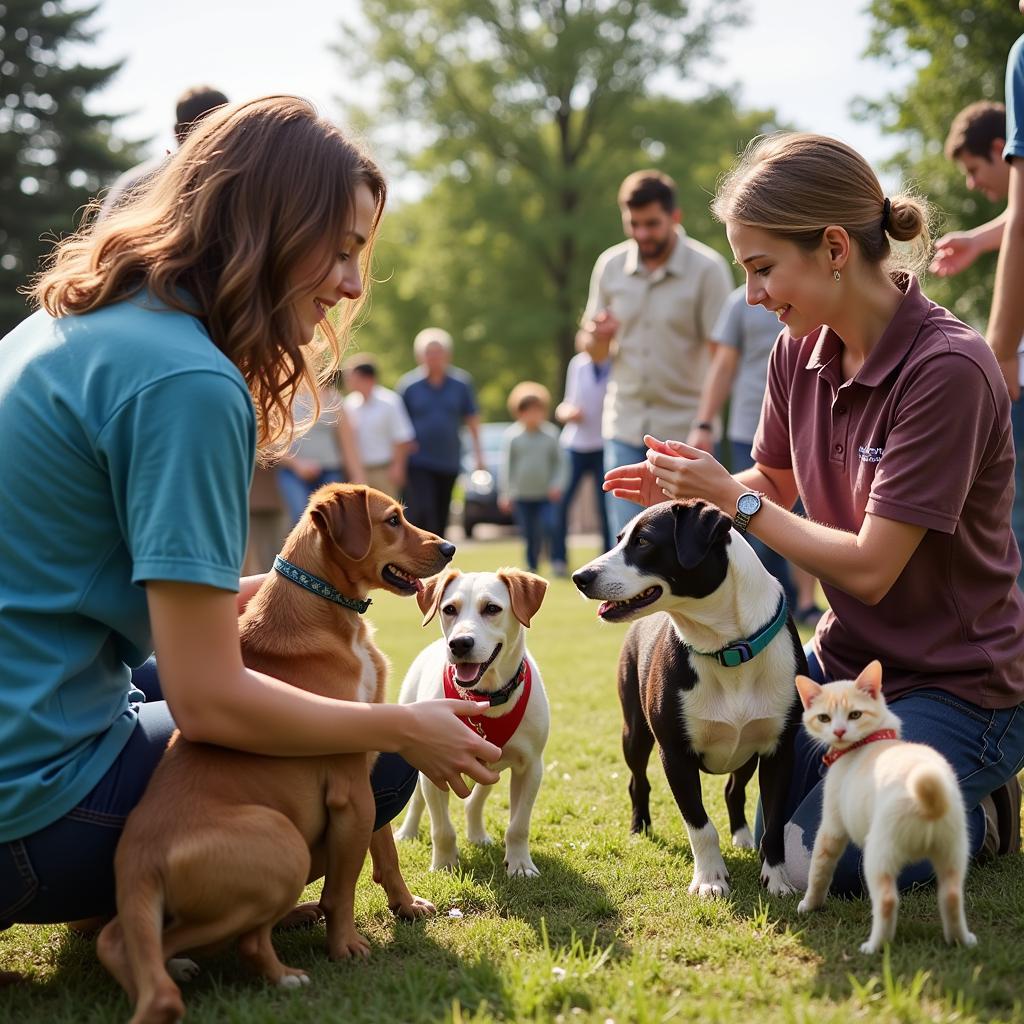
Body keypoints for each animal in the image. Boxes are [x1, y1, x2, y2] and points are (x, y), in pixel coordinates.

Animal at [96, 485, 456, 1024]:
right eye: (392, 520)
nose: (452, 548)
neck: (333, 615)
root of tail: (136, 859)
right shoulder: (350, 789)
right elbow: (342, 889)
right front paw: (346, 946)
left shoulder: (368, 776)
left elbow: (386, 854)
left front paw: (406, 905)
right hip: (283, 845)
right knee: (214, 941)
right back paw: (279, 974)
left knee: (121, 938)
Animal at [393, 573, 552, 876]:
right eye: (449, 609)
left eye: (491, 608)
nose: (459, 643)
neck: (484, 698)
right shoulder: (434, 768)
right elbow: (441, 828)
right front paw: (444, 863)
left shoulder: (530, 766)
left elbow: (519, 825)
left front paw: (520, 864)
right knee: (417, 800)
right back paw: (407, 831)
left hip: (489, 764)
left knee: (475, 802)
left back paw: (477, 835)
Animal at [573, 497, 802, 897]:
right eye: (619, 540)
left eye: (643, 541)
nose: (580, 577)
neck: (726, 648)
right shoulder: (675, 754)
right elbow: (700, 825)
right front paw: (710, 879)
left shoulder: (779, 750)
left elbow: (773, 824)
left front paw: (777, 879)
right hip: (634, 732)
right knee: (637, 780)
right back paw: (639, 828)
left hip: (747, 752)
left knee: (733, 789)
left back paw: (743, 836)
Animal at [790, 659, 974, 954]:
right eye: (824, 718)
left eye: (854, 715)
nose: (839, 731)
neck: (872, 739)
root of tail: (928, 797)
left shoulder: (831, 828)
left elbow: (819, 871)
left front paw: (809, 905)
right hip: (953, 850)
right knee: (952, 896)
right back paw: (961, 940)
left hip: (878, 855)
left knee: (887, 900)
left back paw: (874, 946)